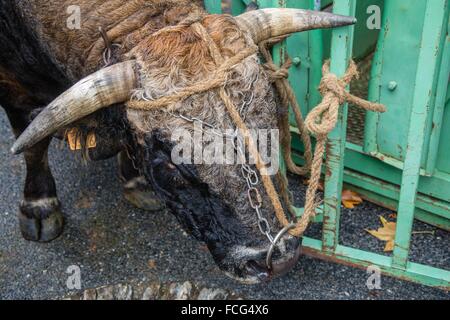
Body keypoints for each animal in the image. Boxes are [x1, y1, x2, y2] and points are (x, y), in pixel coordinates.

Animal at [0, 1, 356, 284]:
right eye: (172, 164)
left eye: (273, 116)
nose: (277, 258)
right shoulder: (13, 91)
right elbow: (32, 148)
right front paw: (39, 207)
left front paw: (136, 180)